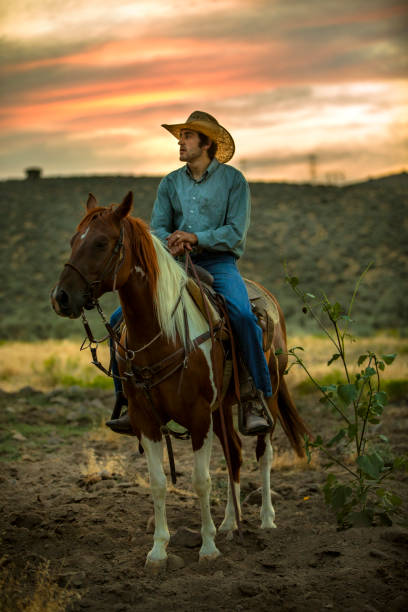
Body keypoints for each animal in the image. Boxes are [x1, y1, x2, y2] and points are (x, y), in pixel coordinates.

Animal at [50, 191, 310, 568]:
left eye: (100, 243)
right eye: (73, 241)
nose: (60, 297)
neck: (164, 333)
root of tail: (268, 299)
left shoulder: (199, 417)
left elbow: (201, 480)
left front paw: (208, 547)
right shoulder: (146, 420)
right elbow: (158, 482)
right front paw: (159, 549)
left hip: (269, 395)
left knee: (264, 452)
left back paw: (266, 519)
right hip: (223, 407)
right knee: (235, 454)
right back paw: (230, 523)